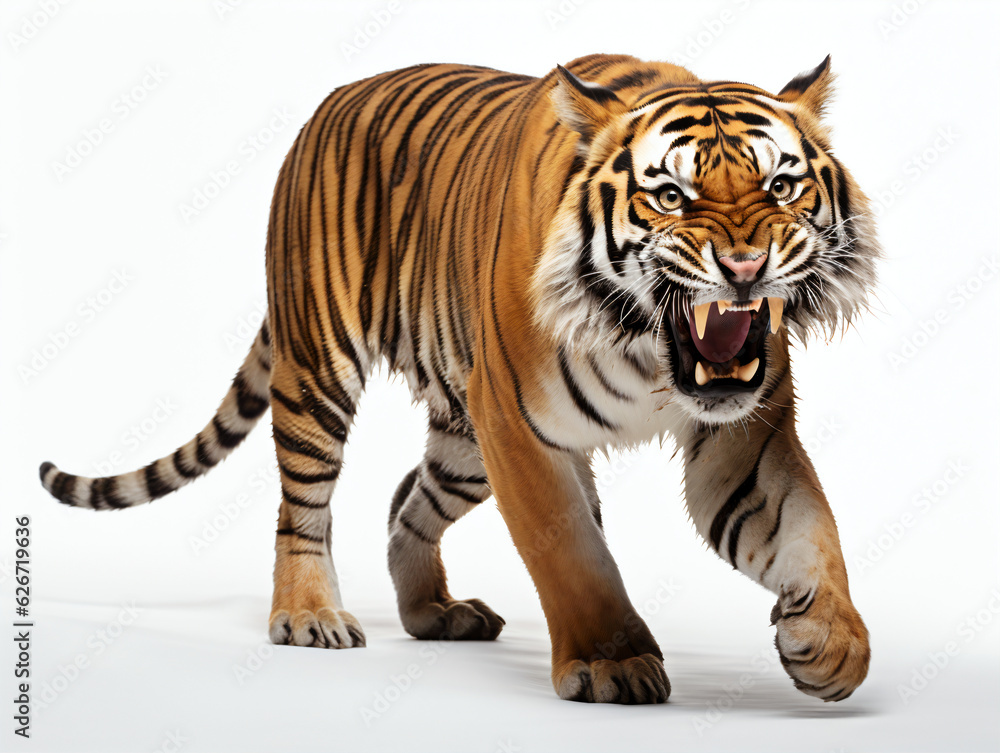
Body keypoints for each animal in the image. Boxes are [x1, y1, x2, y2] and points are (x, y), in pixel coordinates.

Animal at [40, 53, 879, 705]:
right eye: (672, 196)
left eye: (781, 187)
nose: (744, 266)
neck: (648, 351)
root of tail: (328, 103)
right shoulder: (521, 425)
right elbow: (571, 550)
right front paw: (610, 660)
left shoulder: (744, 435)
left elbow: (812, 528)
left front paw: (831, 643)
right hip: (322, 370)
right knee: (302, 507)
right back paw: (309, 615)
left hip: (465, 439)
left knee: (406, 504)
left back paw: (432, 611)